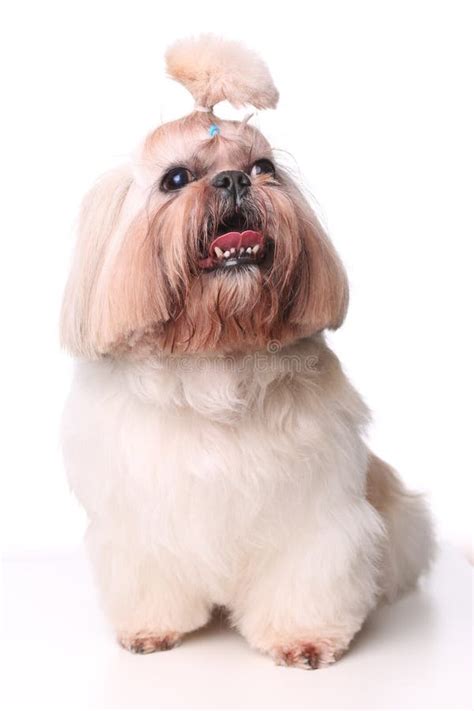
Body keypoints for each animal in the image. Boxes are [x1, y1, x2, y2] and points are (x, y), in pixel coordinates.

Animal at [61, 34, 436, 668]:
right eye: (176, 179)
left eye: (265, 169)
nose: (235, 179)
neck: (218, 354)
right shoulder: (141, 513)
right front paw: (151, 629)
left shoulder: (314, 515)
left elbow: (306, 574)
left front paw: (303, 640)